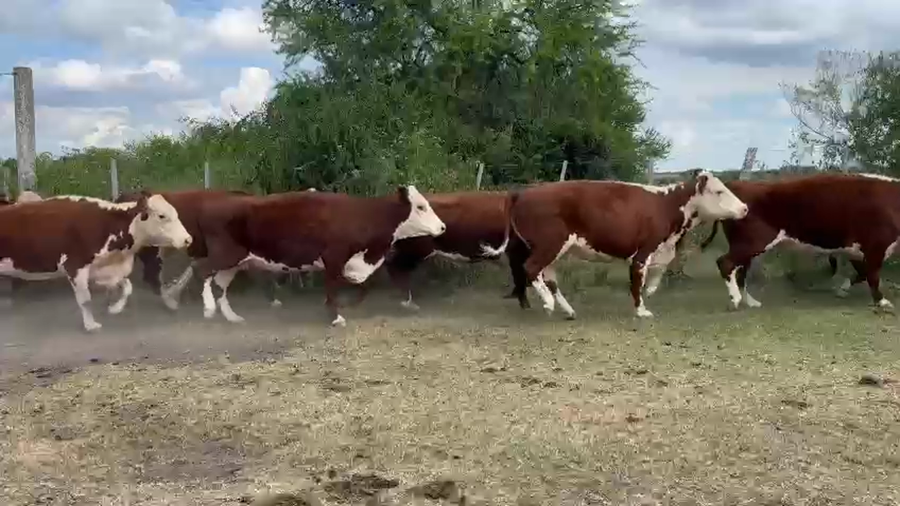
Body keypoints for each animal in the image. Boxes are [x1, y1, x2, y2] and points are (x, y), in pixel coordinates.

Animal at [0, 193, 192, 331]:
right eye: (162, 216)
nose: (188, 239)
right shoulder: (75, 266)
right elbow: (85, 299)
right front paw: (91, 325)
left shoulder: (103, 269)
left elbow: (127, 286)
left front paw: (115, 308)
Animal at [189, 185, 446, 326]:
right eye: (421, 207)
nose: (442, 227)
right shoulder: (334, 257)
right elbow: (332, 286)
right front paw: (335, 316)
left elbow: (362, 287)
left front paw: (346, 305)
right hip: (226, 254)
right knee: (201, 269)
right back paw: (208, 309)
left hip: (235, 261)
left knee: (220, 284)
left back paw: (232, 317)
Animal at [506, 171, 749, 319]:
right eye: (719, 191)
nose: (745, 208)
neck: (667, 205)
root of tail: (523, 193)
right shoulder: (643, 252)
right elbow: (637, 283)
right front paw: (641, 310)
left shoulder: (663, 250)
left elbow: (657, 274)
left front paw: (650, 291)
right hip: (549, 244)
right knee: (531, 268)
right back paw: (548, 303)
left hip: (554, 250)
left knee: (549, 277)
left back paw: (568, 310)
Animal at [697, 172, 900, 311]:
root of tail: (737, 184)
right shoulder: (876, 246)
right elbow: (872, 275)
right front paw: (882, 301)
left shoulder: (856, 250)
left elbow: (862, 273)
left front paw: (842, 290)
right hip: (753, 241)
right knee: (725, 262)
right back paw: (735, 300)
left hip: (744, 244)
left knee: (740, 271)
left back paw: (751, 302)